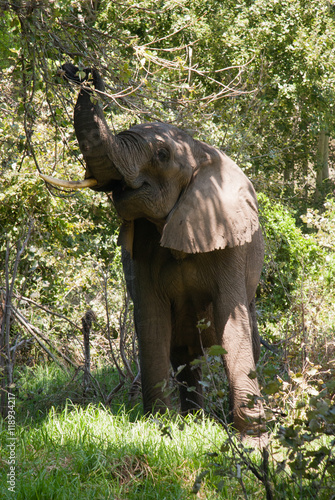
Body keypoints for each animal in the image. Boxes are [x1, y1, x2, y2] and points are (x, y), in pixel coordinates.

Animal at [42, 63, 268, 446]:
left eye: (162, 155)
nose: (82, 71)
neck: (199, 151)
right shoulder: (142, 251)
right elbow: (150, 320)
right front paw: (162, 430)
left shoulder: (230, 242)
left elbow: (231, 321)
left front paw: (253, 443)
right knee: (185, 356)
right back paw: (193, 419)